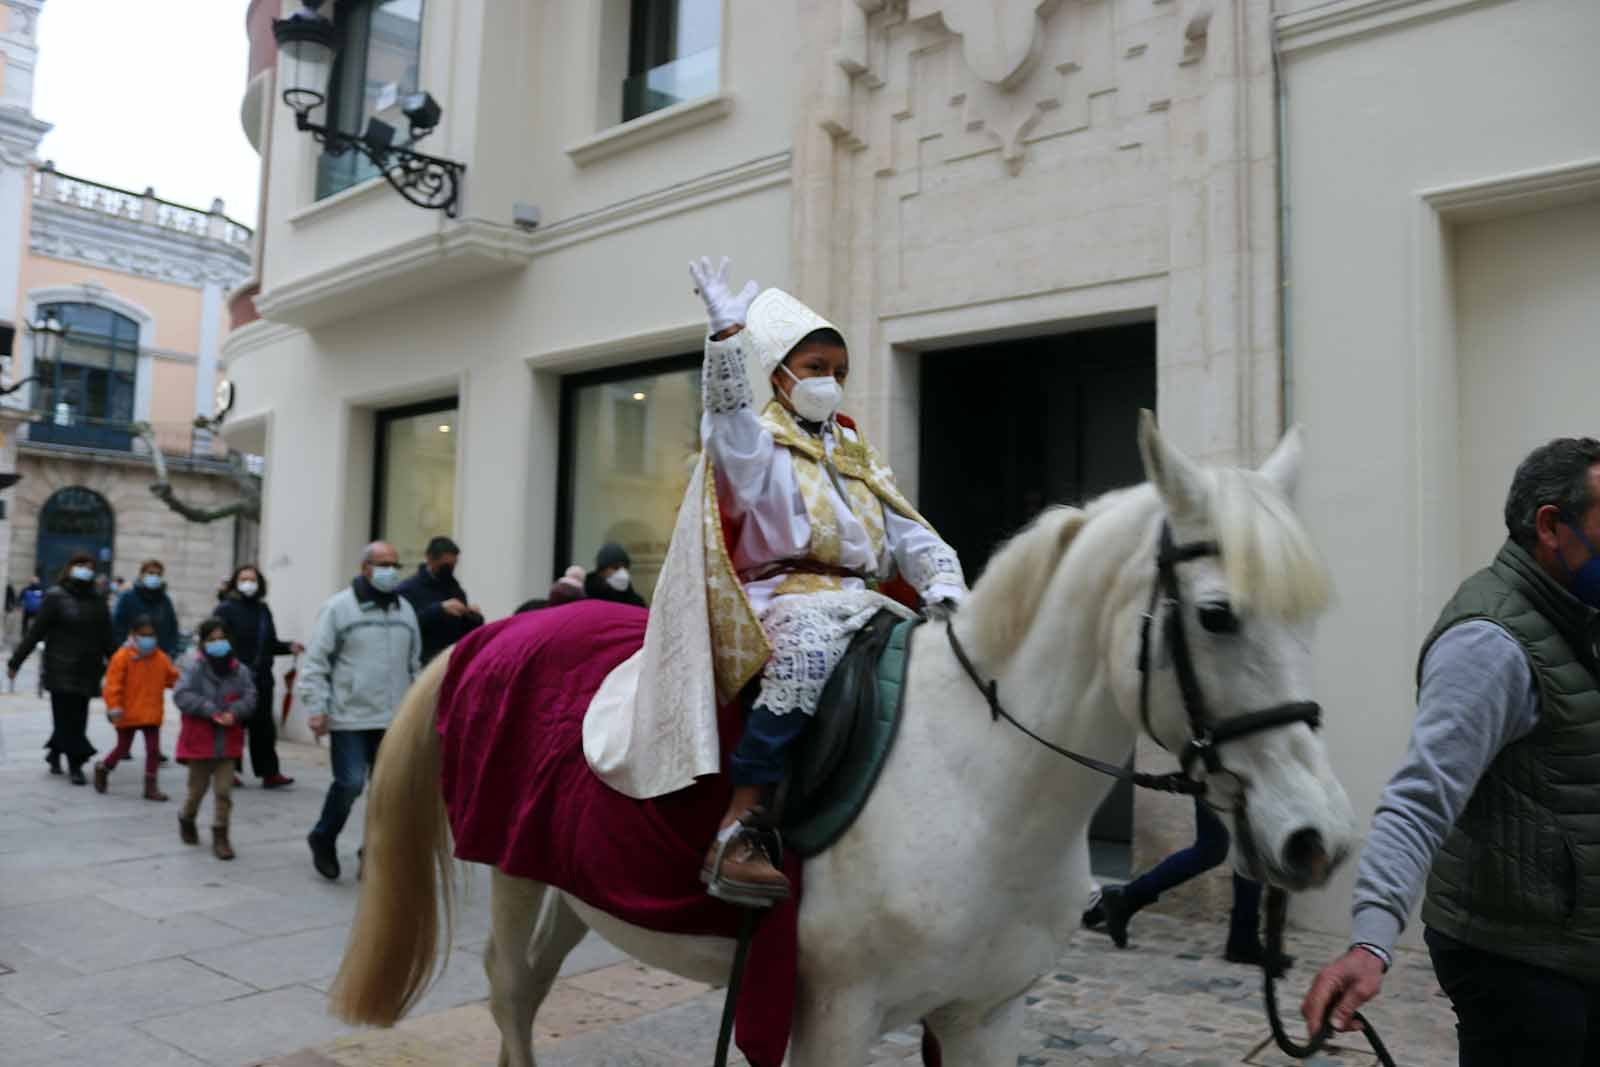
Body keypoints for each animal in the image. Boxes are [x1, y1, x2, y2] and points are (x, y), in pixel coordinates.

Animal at [331, 415, 1356, 1067]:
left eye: (1313, 613)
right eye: (1217, 614)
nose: (1319, 839)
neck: (980, 785)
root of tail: (491, 634)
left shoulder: (986, 1015)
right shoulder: (831, 1016)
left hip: (576, 881)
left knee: (537, 987)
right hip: (509, 869)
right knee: (509, 991)